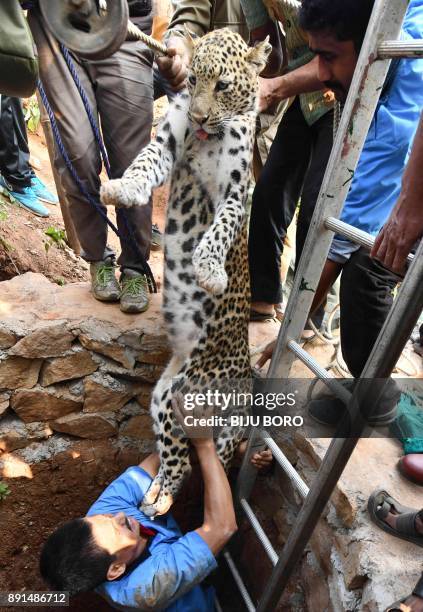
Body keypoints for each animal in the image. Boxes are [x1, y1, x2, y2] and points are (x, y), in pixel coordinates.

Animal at [101, 27, 270, 516]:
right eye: (192, 80)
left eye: (223, 86)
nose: (198, 115)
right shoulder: (167, 144)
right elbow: (142, 163)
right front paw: (121, 187)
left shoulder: (237, 189)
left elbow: (221, 228)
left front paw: (209, 270)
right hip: (165, 393)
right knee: (176, 452)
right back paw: (156, 491)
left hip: (190, 393)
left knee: (192, 457)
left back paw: (160, 498)